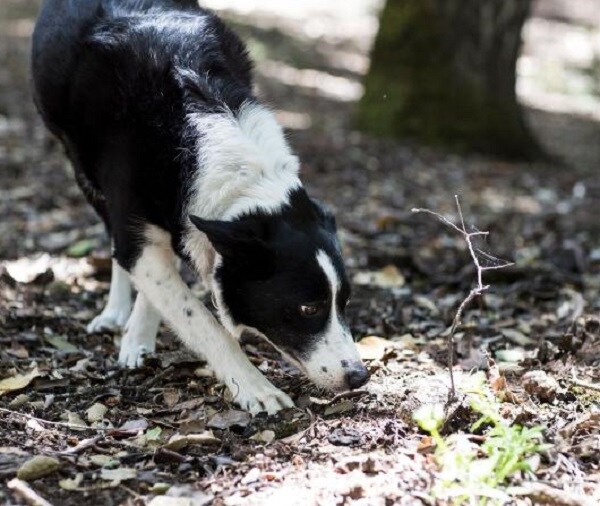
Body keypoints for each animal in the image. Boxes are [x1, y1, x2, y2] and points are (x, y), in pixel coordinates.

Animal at [32, 0, 370, 414]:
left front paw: (140, 333)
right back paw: (115, 312)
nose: (359, 377)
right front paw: (256, 388)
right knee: (114, 240)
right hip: (82, 169)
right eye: (309, 308)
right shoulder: (136, 228)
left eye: (345, 302)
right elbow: (200, 320)